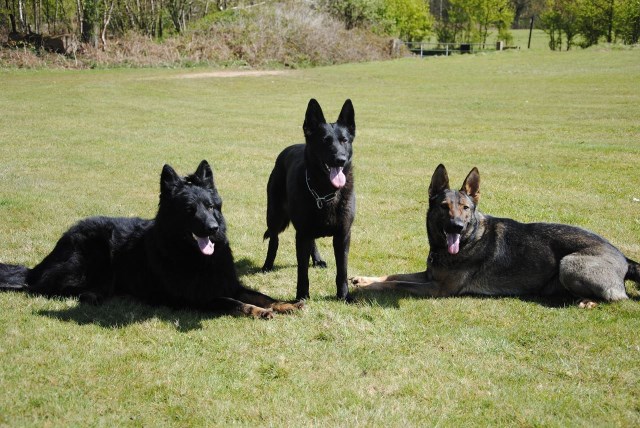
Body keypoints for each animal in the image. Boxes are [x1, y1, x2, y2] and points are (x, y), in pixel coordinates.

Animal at [0, 160, 304, 318]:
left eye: (211, 206)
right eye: (189, 210)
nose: (213, 228)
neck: (191, 255)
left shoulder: (229, 282)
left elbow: (260, 295)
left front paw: (285, 303)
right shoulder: (197, 299)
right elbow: (234, 303)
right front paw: (258, 311)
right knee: (43, 288)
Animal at [262, 99, 358, 300]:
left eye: (344, 140)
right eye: (325, 141)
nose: (340, 159)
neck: (324, 193)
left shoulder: (343, 235)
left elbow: (342, 270)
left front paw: (344, 296)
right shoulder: (302, 234)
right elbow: (302, 270)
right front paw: (302, 296)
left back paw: (318, 260)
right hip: (275, 216)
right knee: (274, 240)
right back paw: (267, 265)